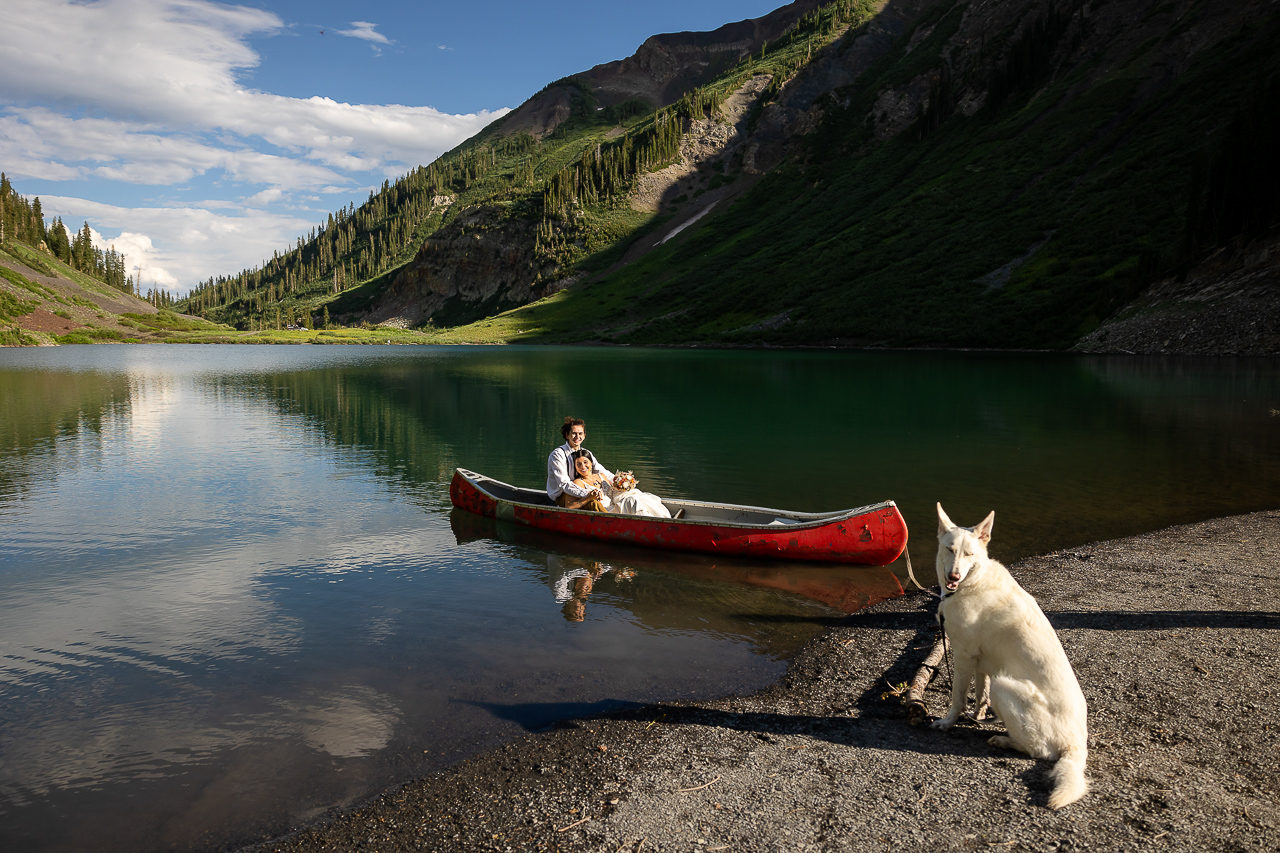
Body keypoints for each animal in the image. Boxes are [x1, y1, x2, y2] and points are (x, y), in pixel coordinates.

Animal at [931, 502, 1090, 809]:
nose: (953, 577)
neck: (974, 581)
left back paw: (1004, 740)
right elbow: (980, 693)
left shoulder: (963, 655)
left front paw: (949, 722)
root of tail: (1076, 744)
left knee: (1039, 751)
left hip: (1005, 685)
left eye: (969, 554)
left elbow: (957, 697)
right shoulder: (980, 660)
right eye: (949, 549)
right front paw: (978, 714)